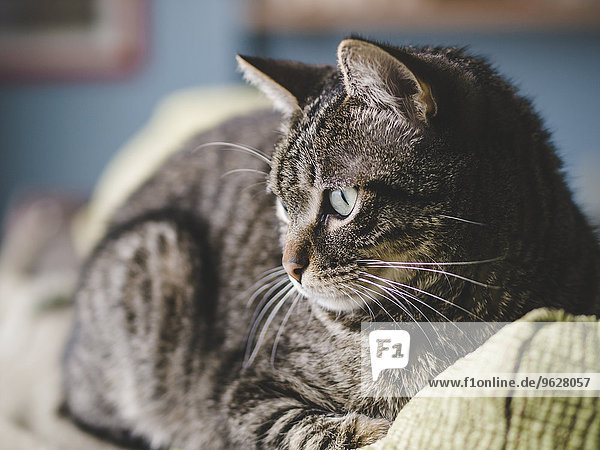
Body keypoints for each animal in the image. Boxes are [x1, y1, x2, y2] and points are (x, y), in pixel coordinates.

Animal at [63, 38, 596, 450]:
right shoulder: (243, 392)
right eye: (282, 205)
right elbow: (313, 431)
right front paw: (372, 429)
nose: (288, 267)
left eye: (341, 201)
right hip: (159, 250)